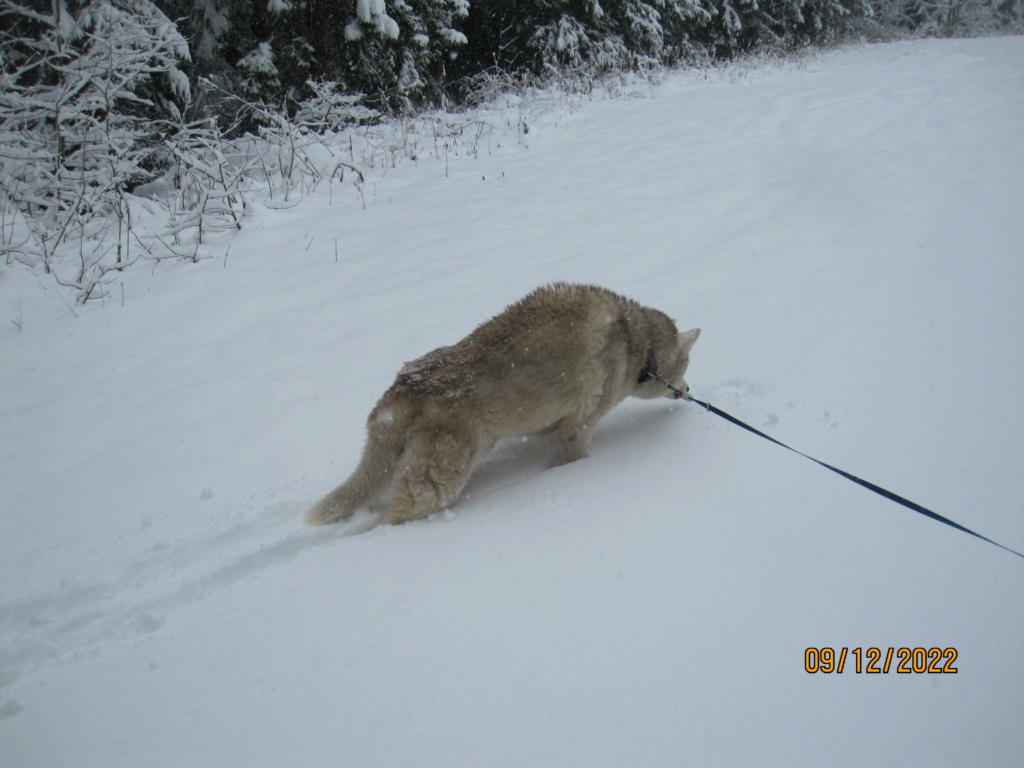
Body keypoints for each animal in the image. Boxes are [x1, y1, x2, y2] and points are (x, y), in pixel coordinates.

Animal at [307, 284, 700, 528]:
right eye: (687, 364)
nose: (687, 389)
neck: (639, 345)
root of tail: (403, 387)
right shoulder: (579, 425)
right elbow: (578, 455)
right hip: (438, 483)